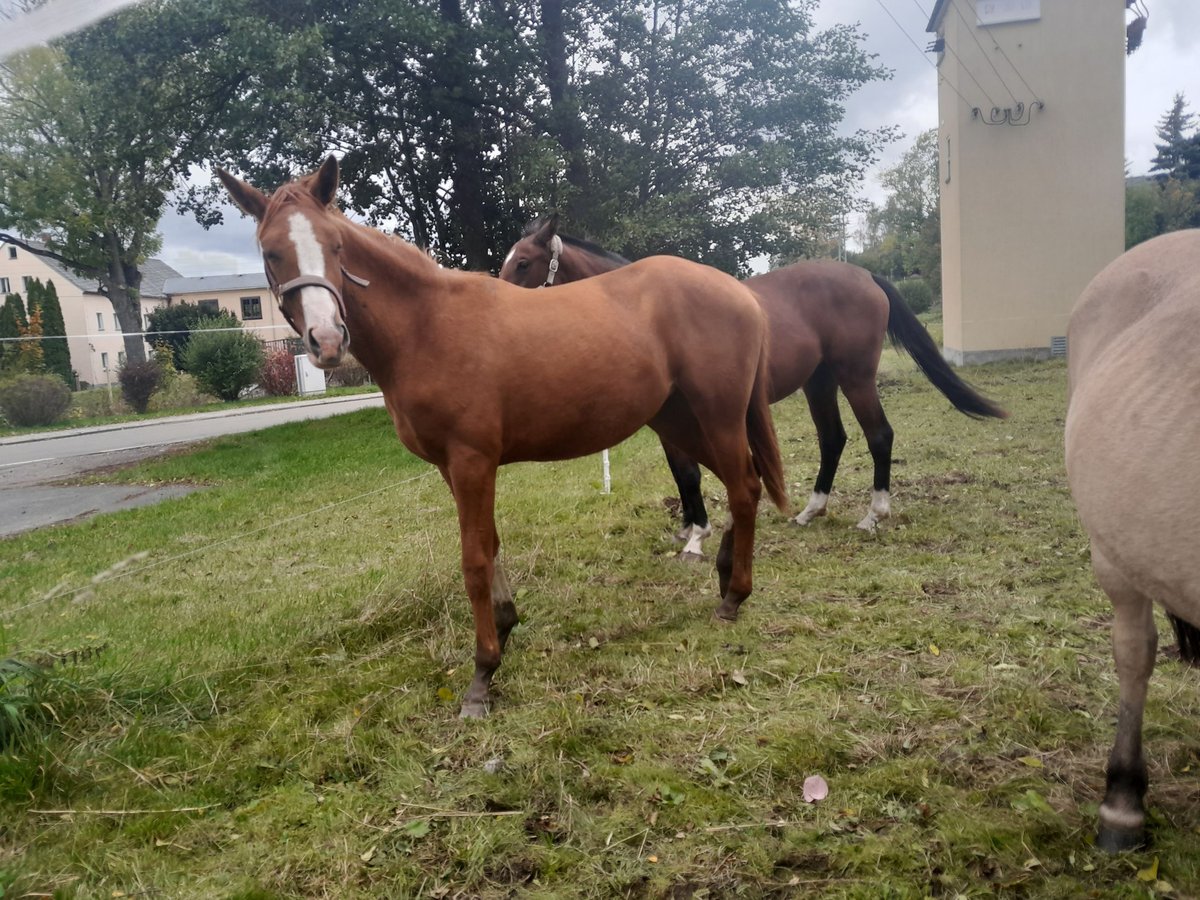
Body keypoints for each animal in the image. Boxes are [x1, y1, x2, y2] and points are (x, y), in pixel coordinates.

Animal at [220, 154, 792, 720]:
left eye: (336, 247)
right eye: (271, 252)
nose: (327, 340)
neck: (427, 326)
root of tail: (739, 291)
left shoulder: (472, 461)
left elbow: (474, 561)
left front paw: (483, 674)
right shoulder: (451, 467)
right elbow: (491, 546)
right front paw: (506, 624)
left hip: (716, 415)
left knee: (744, 487)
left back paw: (734, 597)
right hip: (679, 421)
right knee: (743, 483)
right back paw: (724, 570)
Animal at [501, 218, 1008, 556]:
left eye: (523, 262)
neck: (650, 314)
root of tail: (865, 274)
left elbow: (690, 474)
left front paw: (697, 538)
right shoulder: (668, 426)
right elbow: (682, 474)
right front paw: (689, 528)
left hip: (856, 377)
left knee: (879, 436)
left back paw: (873, 516)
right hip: (819, 383)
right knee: (833, 439)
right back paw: (810, 511)